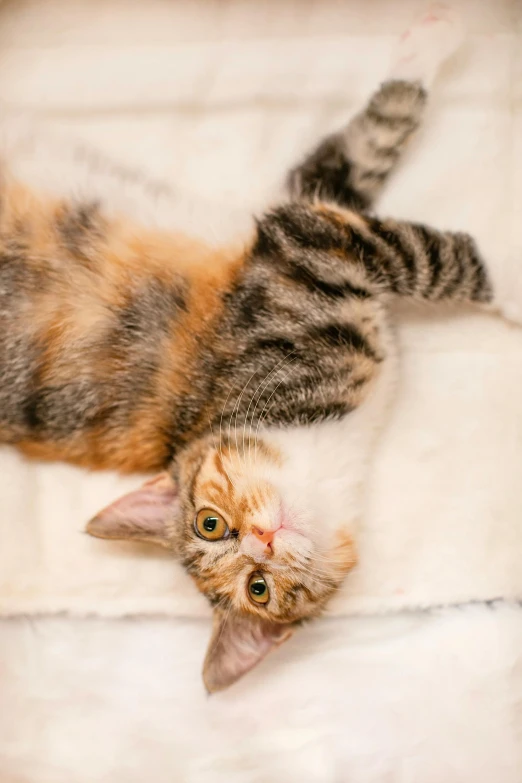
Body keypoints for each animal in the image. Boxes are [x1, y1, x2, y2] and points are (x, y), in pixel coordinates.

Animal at [0, 7, 506, 692]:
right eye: (258, 588)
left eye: (209, 523)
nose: (262, 540)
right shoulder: (306, 258)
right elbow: (439, 257)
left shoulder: (301, 221)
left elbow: (358, 155)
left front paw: (427, 39)